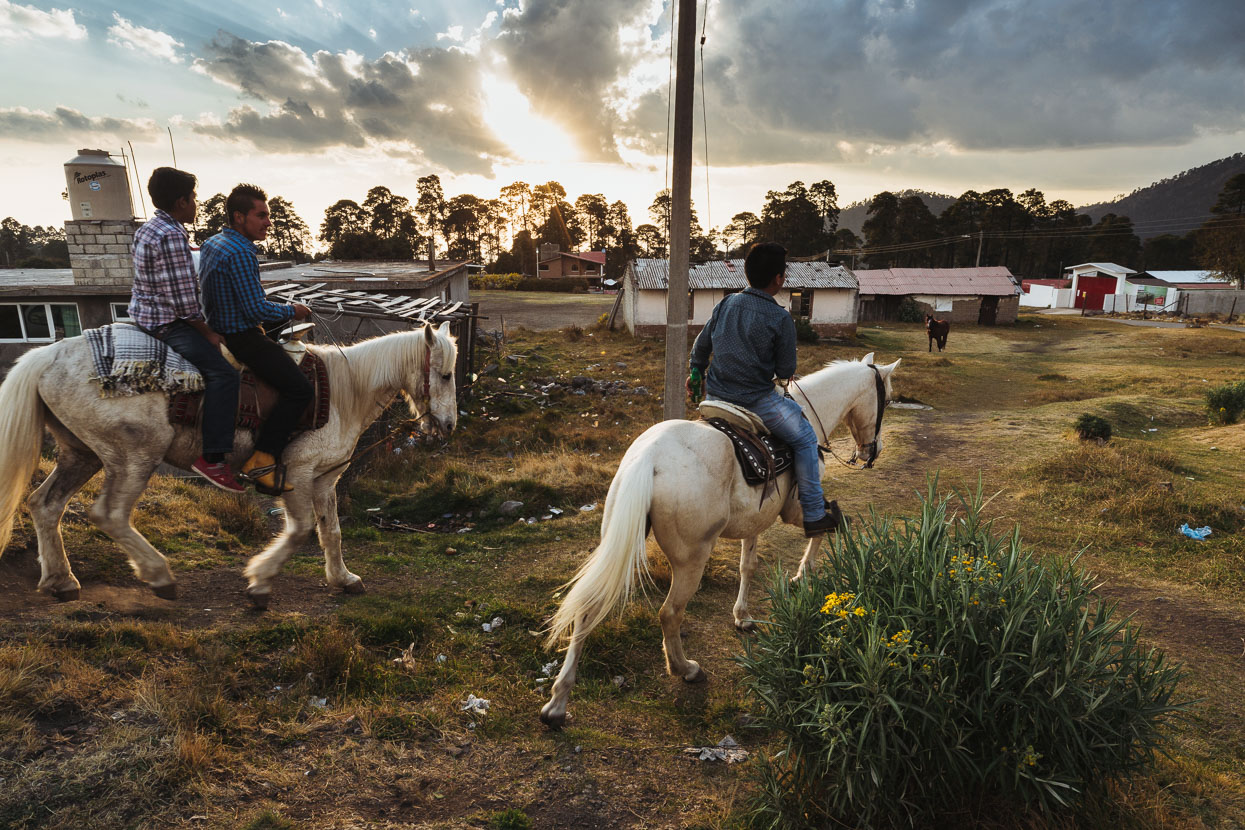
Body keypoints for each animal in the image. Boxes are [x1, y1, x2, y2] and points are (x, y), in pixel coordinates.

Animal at [0, 323, 460, 609]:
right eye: (447, 374)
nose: (450, 425)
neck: (344, 392)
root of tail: (48, 356)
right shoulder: (296, 474)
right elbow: (300, 532)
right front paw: (260, 582)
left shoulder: (325, 479)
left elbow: (330, 531)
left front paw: (343, 579)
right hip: (133, 457)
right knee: (109, 514)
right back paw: (159, 575)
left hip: (82, 454)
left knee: (45, 505)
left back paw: (61, 581)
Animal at [540, 353, 901, 731]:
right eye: (888, 400)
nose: (871, 452)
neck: (810, 415)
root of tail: (649, 459)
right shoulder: (797, 508)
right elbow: (824, 525)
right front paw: (803, 574)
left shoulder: (756, 519)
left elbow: (748, 565)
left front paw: (742, 616)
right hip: (692, 559)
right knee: (670, 613)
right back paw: (685, 668)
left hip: (616, 540)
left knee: (587, 608)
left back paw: (557, 703)